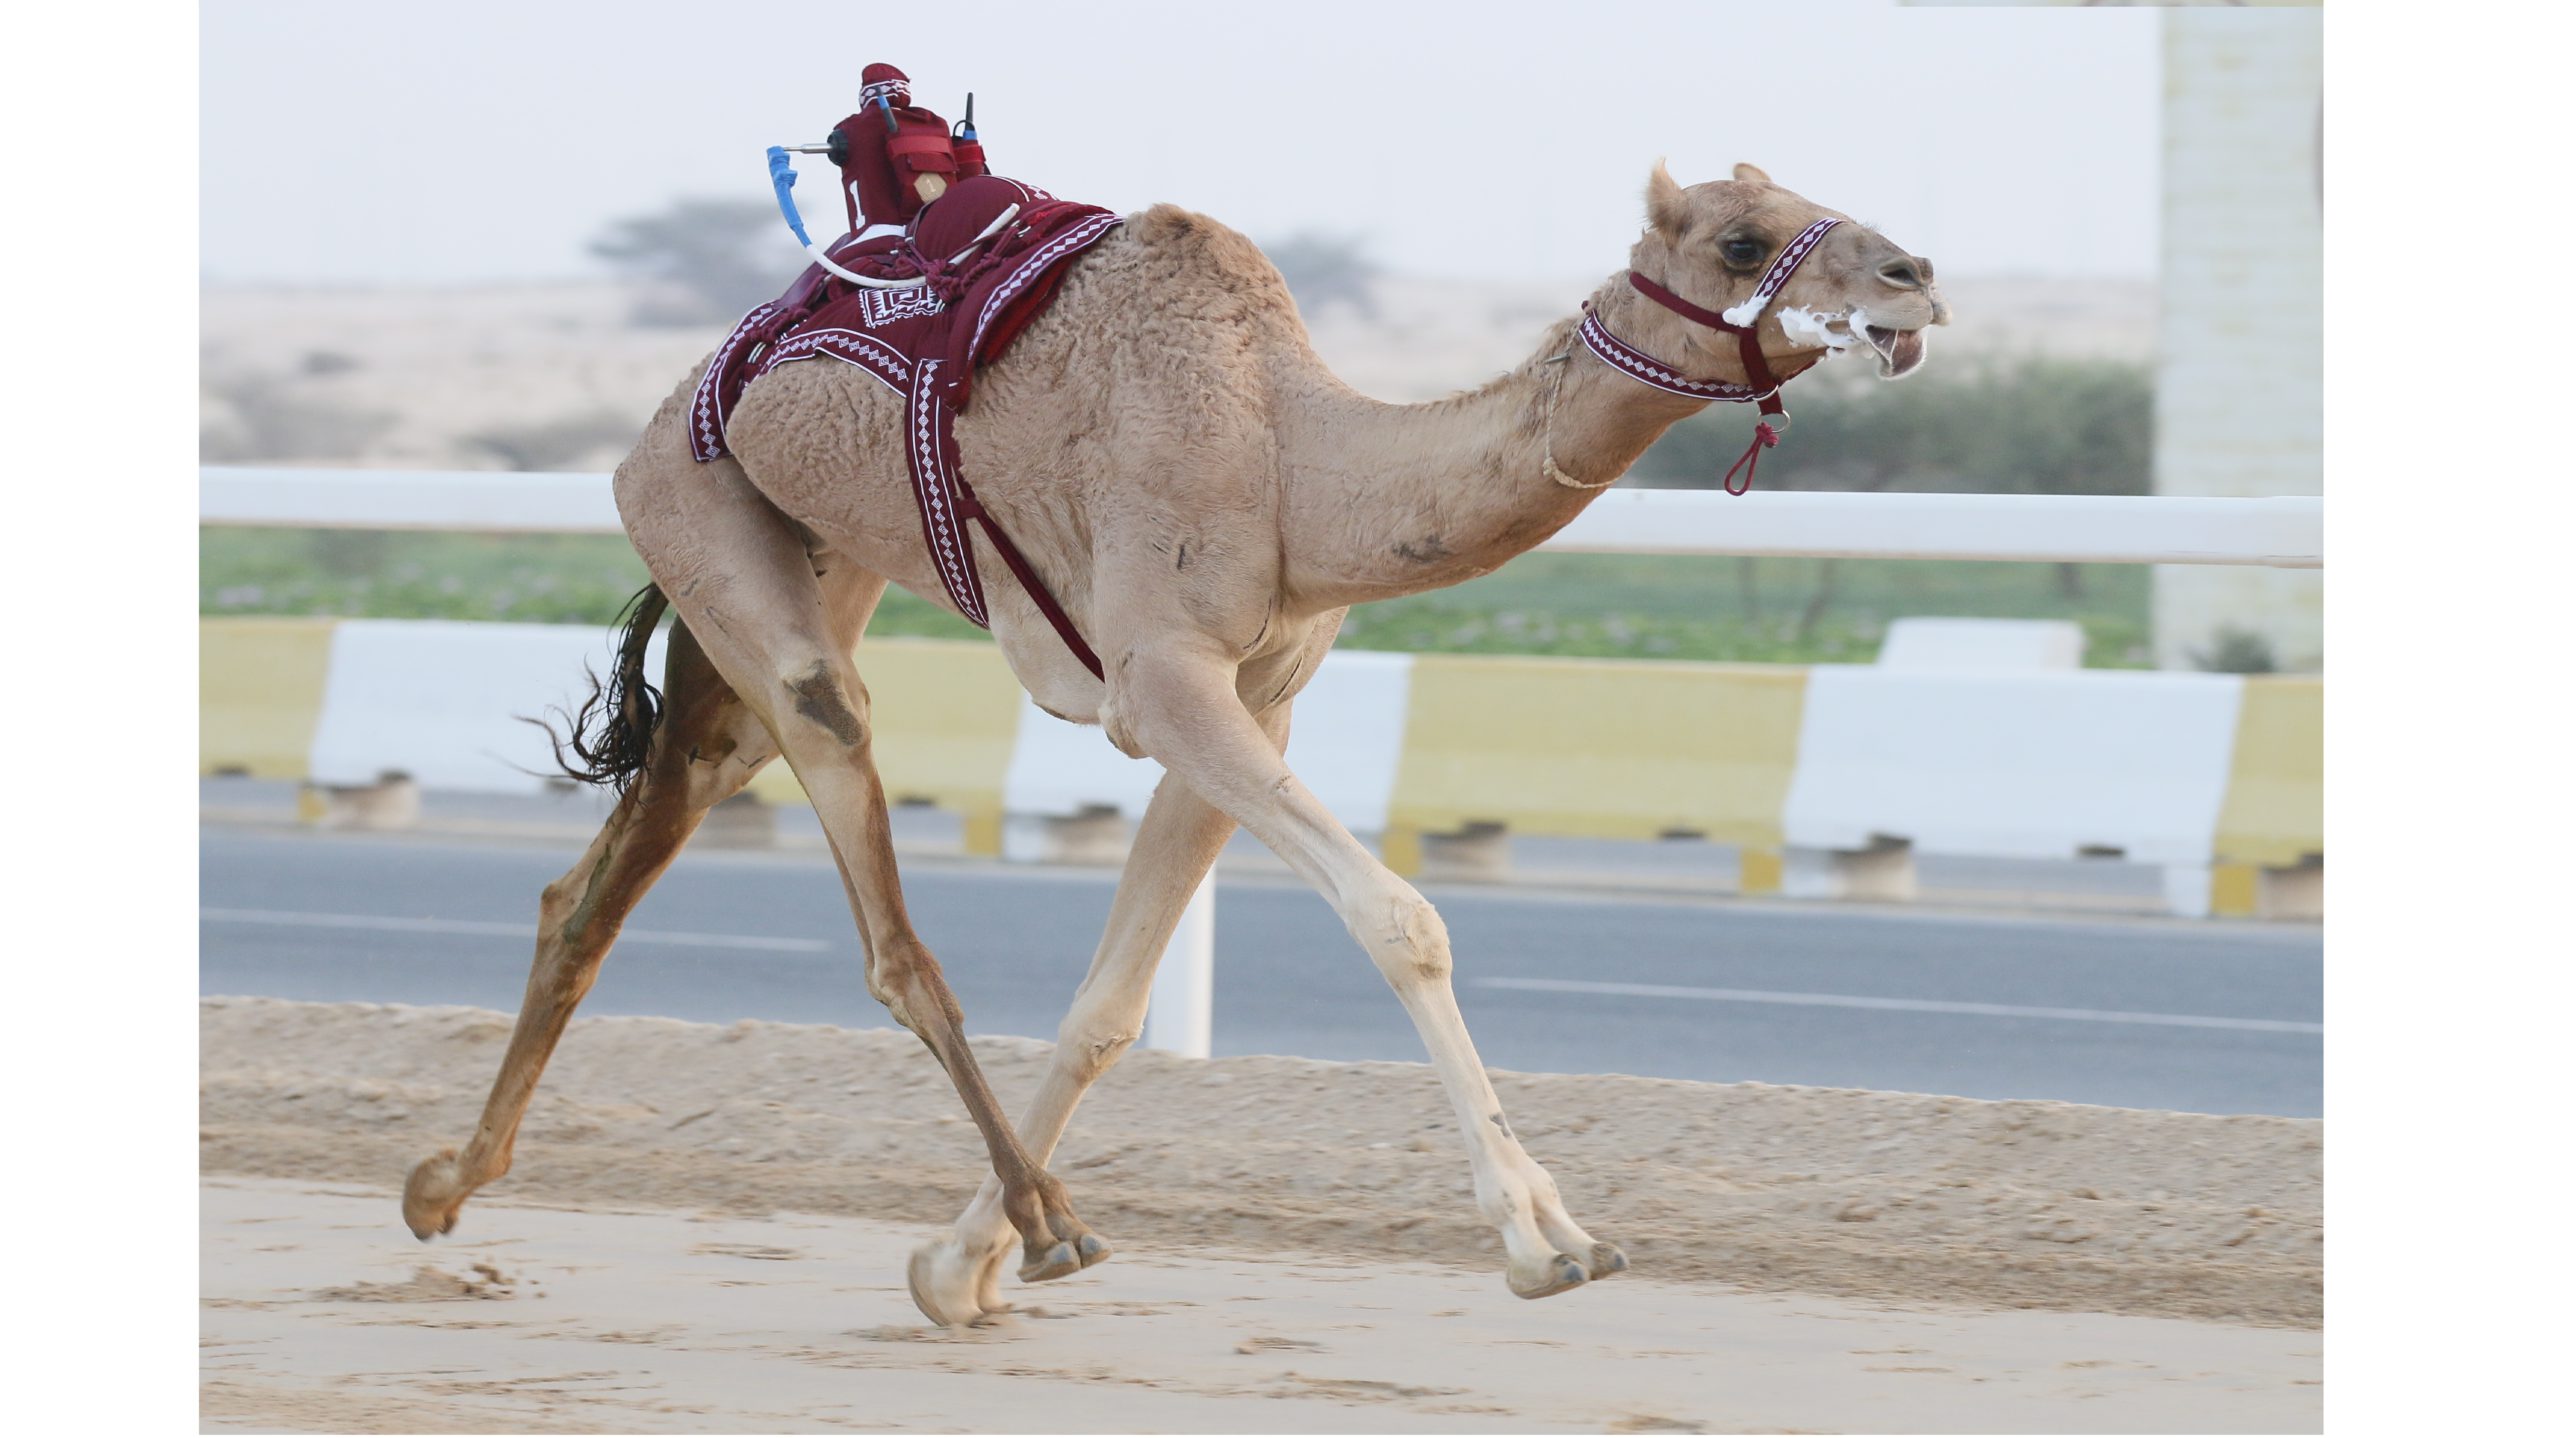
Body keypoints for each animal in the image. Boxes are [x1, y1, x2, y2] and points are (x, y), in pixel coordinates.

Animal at [409, 159, 1945, 1320]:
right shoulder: (1166, 684)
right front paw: (1544, 1237)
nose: (1915, 277)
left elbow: (1111, 1002)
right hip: (699, 517)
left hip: (782, 572)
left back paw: (442, 1184)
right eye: (1743, 237)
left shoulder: (1254, 697)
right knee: (868, 875)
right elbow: (1400, 917)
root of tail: (675, 404)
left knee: (606, 867)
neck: (1291, 460)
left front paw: (949, 1266)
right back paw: (1047, 1218)